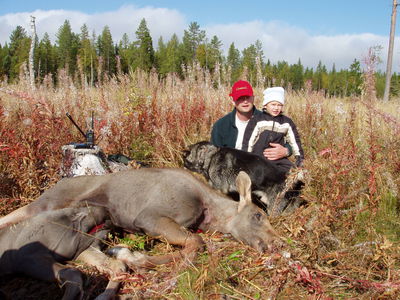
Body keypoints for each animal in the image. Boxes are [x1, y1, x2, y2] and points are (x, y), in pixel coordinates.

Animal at [0, 168, 278, 270]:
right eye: (257, 215)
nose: (273, 244)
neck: (208, 213)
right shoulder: (149, 217)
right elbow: (195, 243)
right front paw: (134, 257)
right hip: (47, 203)